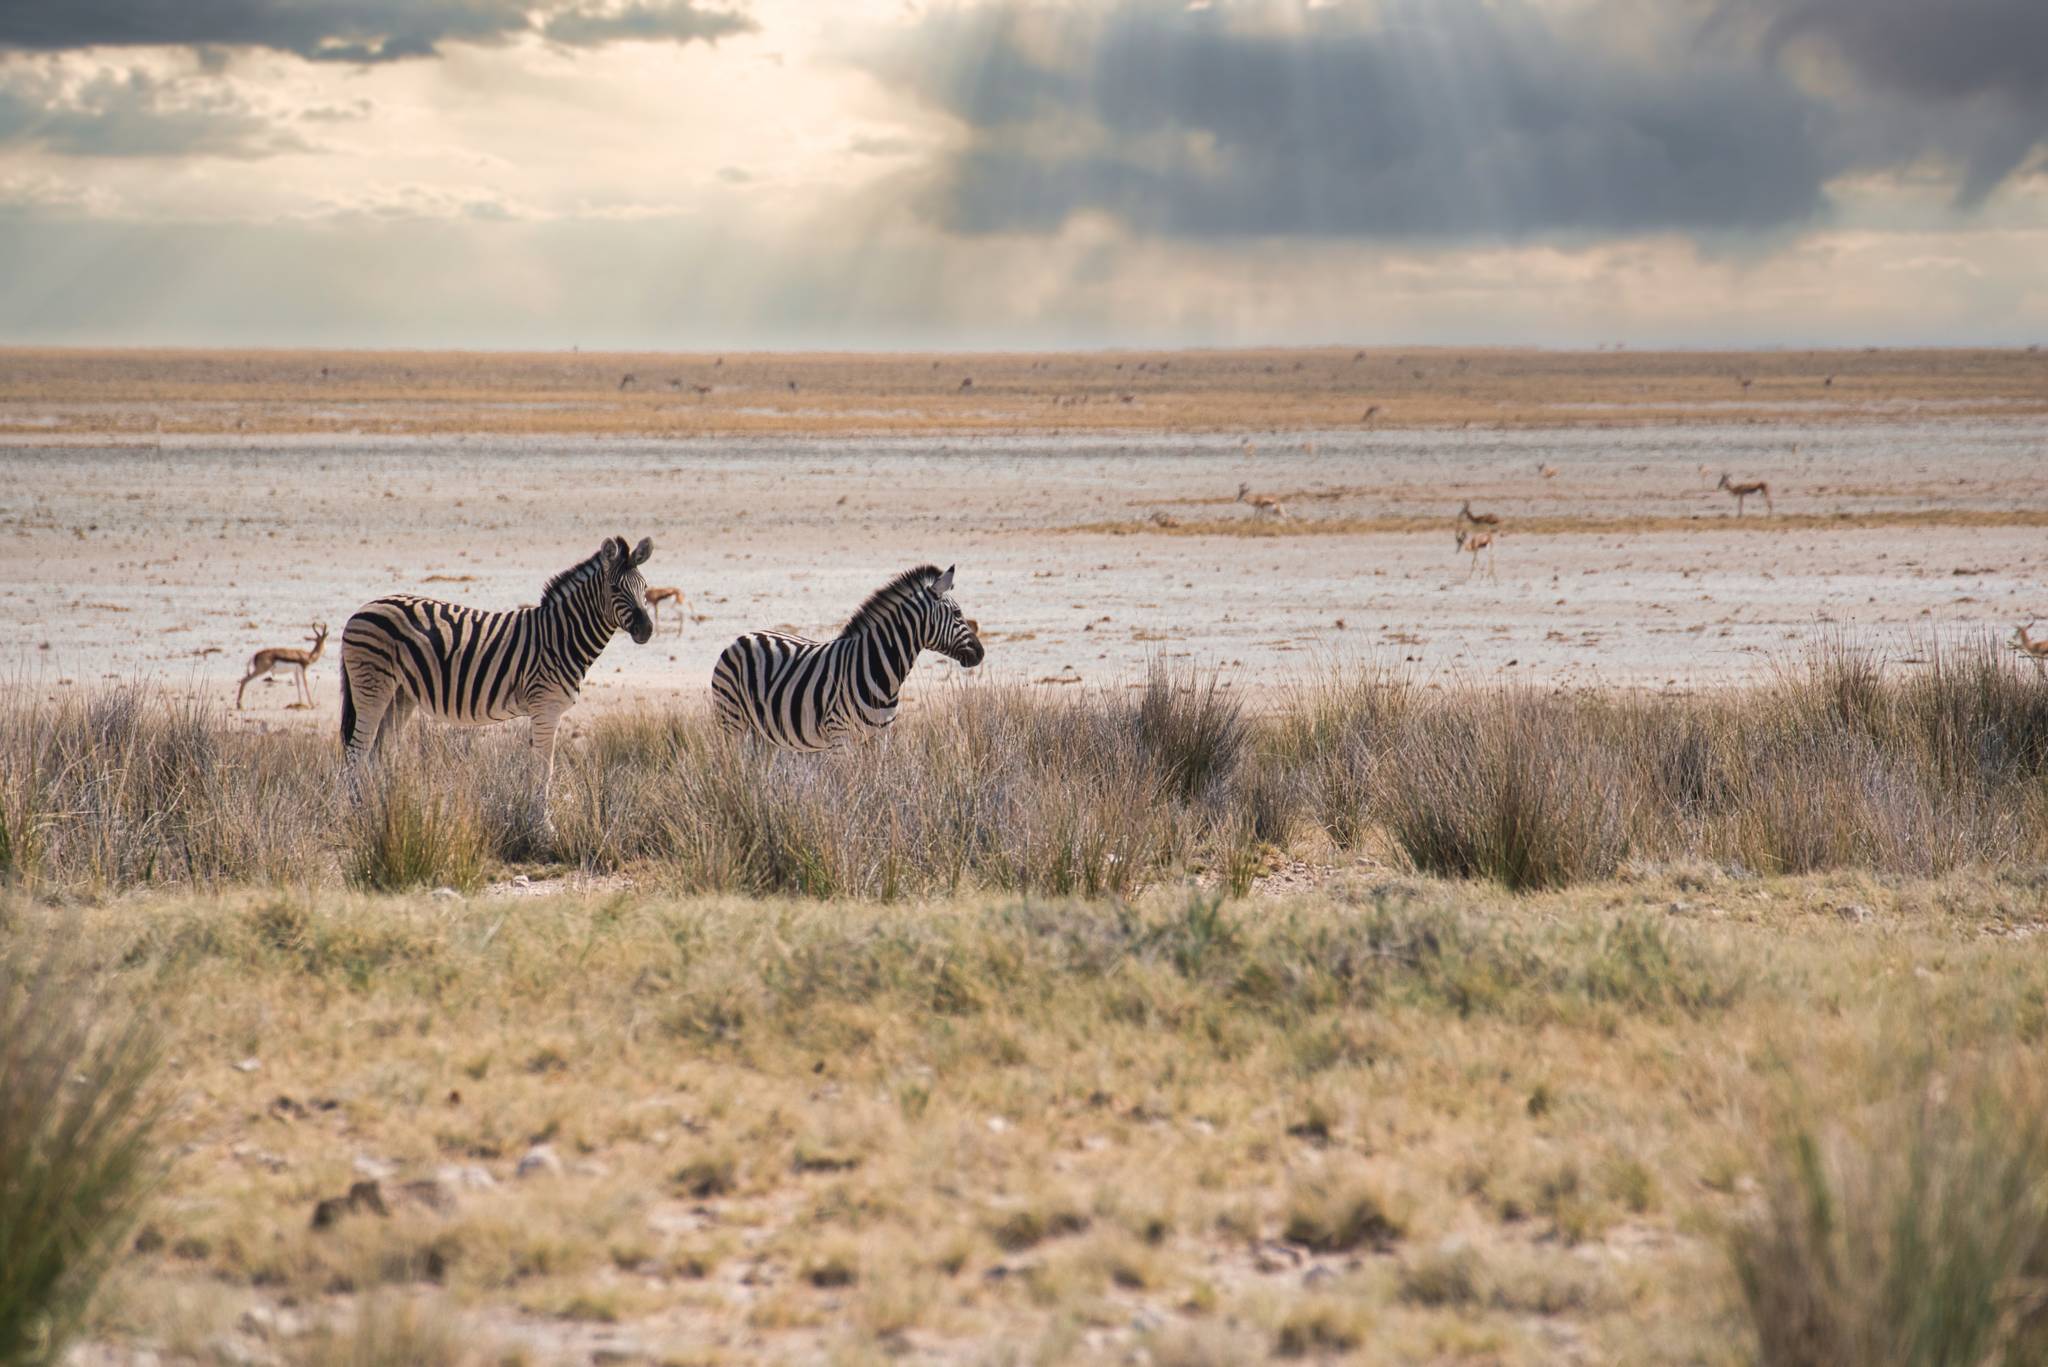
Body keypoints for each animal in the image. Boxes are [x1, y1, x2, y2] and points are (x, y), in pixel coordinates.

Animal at [339, 532, 651, 811]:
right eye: (615, 589)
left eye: (645, 588)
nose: (646, 629)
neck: (561, 637)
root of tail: (360, 610)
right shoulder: (547, 707)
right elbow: (545, 769)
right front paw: (543, 825)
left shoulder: (542, 711)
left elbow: (535, 768)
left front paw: (532, 817)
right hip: (372, 685)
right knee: (356, 752)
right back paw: (358, 811)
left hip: (401, 693)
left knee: (379, 752)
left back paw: (384, 808)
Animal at [712, 561, 983, 750]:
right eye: (957, 614)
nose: (980, 653)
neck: (880, 670)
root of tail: (742, 637)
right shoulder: (840, 738)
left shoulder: (880, 738)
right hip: (732, 721)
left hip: (763, 733)